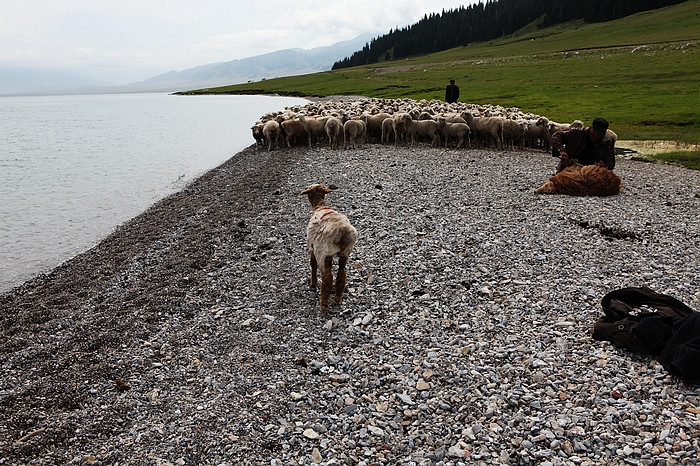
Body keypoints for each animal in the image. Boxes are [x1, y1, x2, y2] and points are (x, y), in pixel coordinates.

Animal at [298, 184, 358, 314]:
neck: (320, 206)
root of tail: (343, 230)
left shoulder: (312, 246)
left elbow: (313, 264)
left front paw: (313, 284)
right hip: (346, 252)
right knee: (341, 273)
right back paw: (337, 299)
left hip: (324, 252)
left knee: (327, 277)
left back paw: (324, 305)